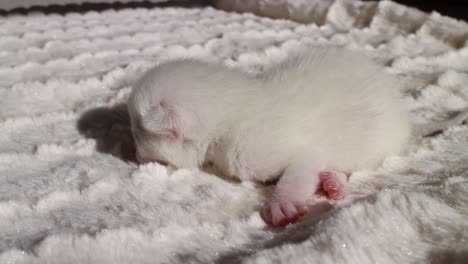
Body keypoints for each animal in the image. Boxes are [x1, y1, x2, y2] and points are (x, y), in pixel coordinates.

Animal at [127, 47, 410, 227]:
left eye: (136, 132)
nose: (135, 155)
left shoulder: (302, 154)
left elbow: (295, 177)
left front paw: (281, 205)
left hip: (374, 145)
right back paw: (332, 183)